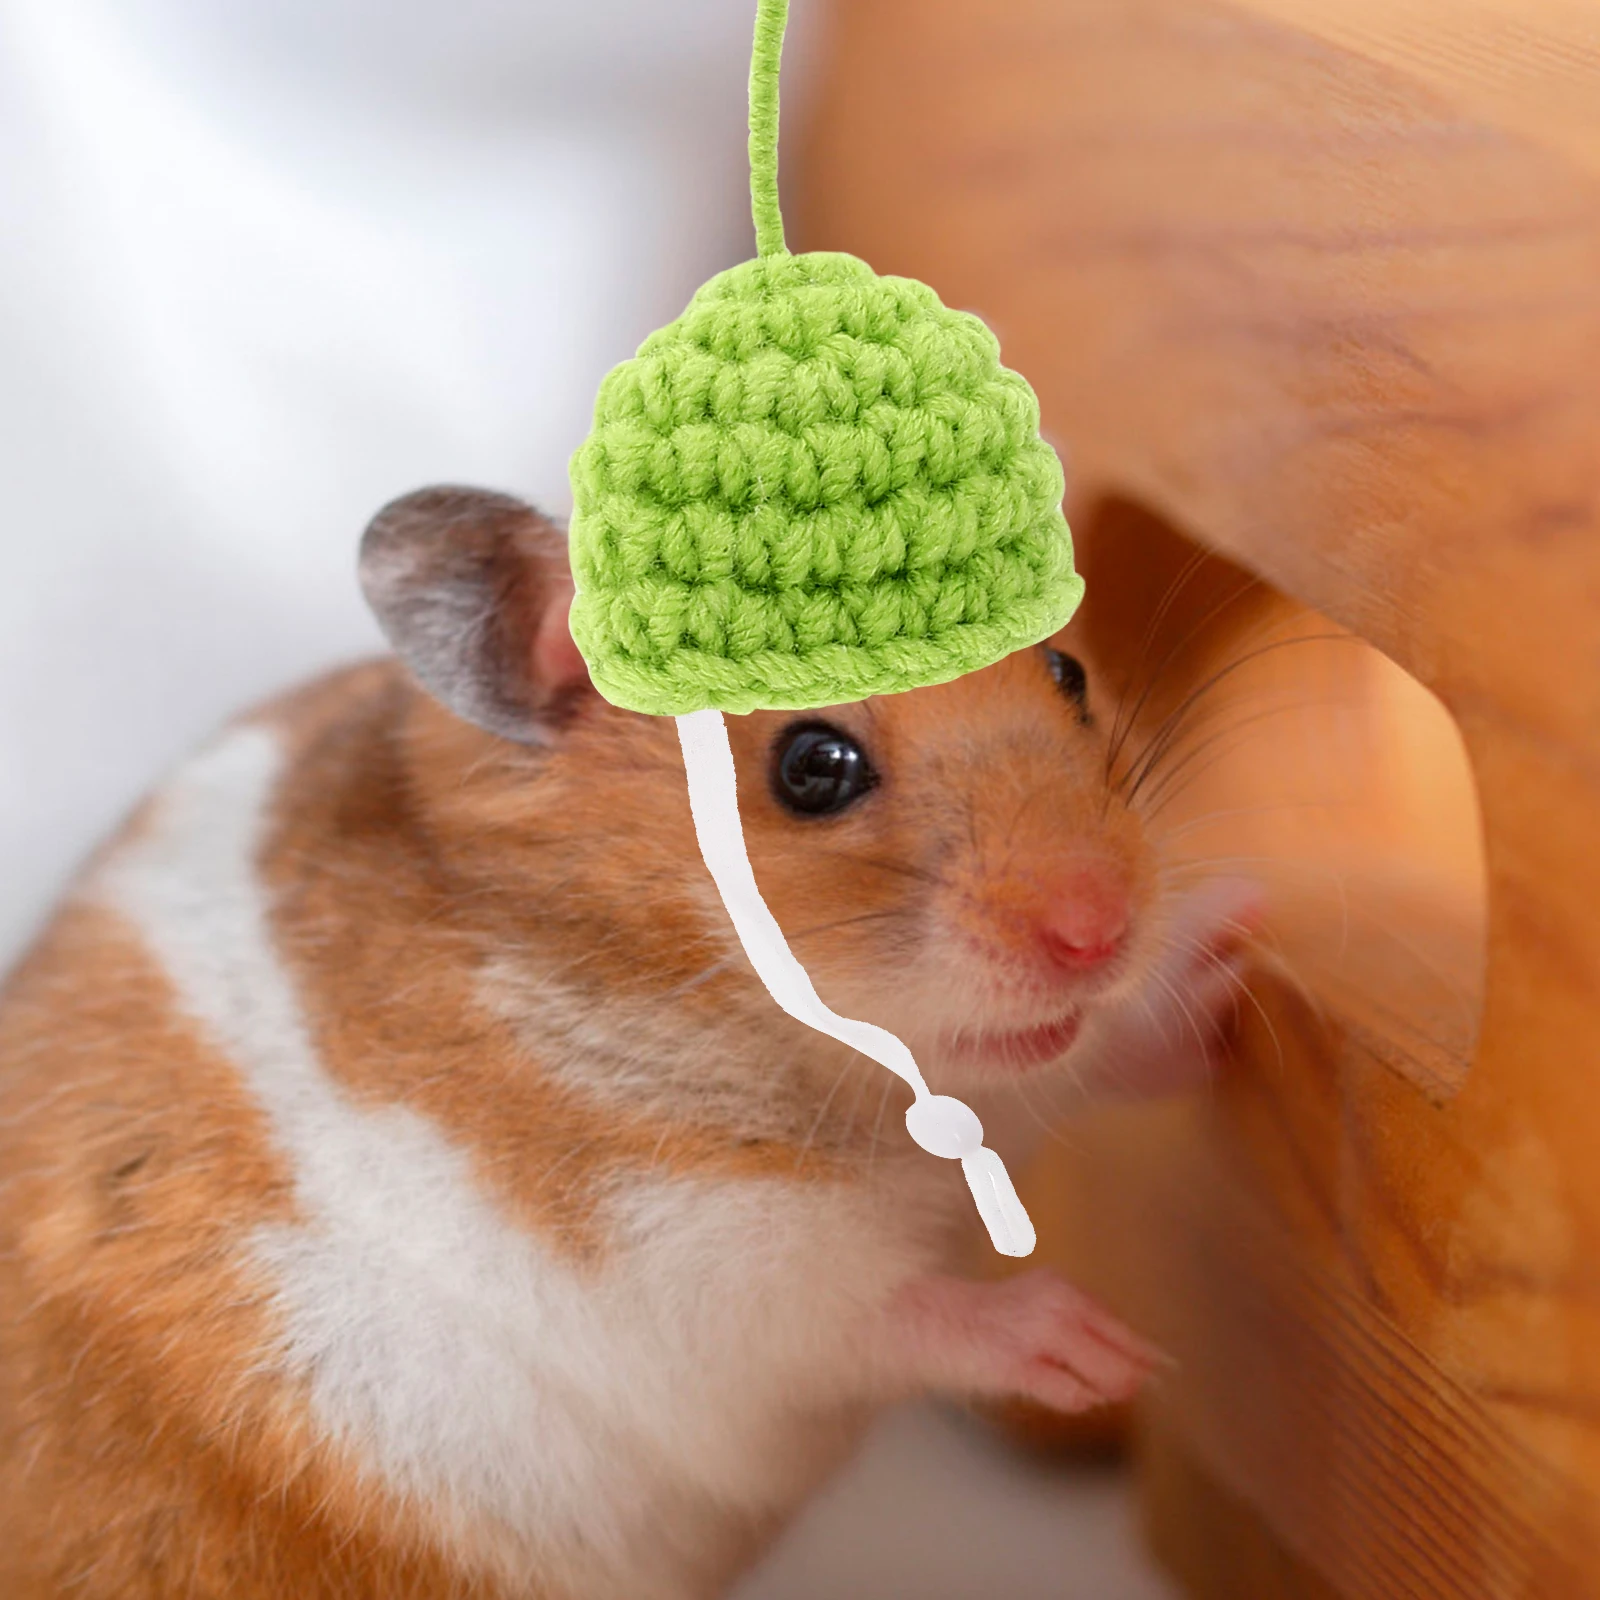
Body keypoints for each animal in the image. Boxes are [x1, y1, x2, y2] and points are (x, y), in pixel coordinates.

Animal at [0, 487, 1257, 1600]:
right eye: (813, 767)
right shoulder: (691, 1269)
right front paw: (1105, 1351)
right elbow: (878, 1311)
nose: (1100, 931)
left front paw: (1232, 957)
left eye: (1068, 672)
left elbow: (1074, 1065)